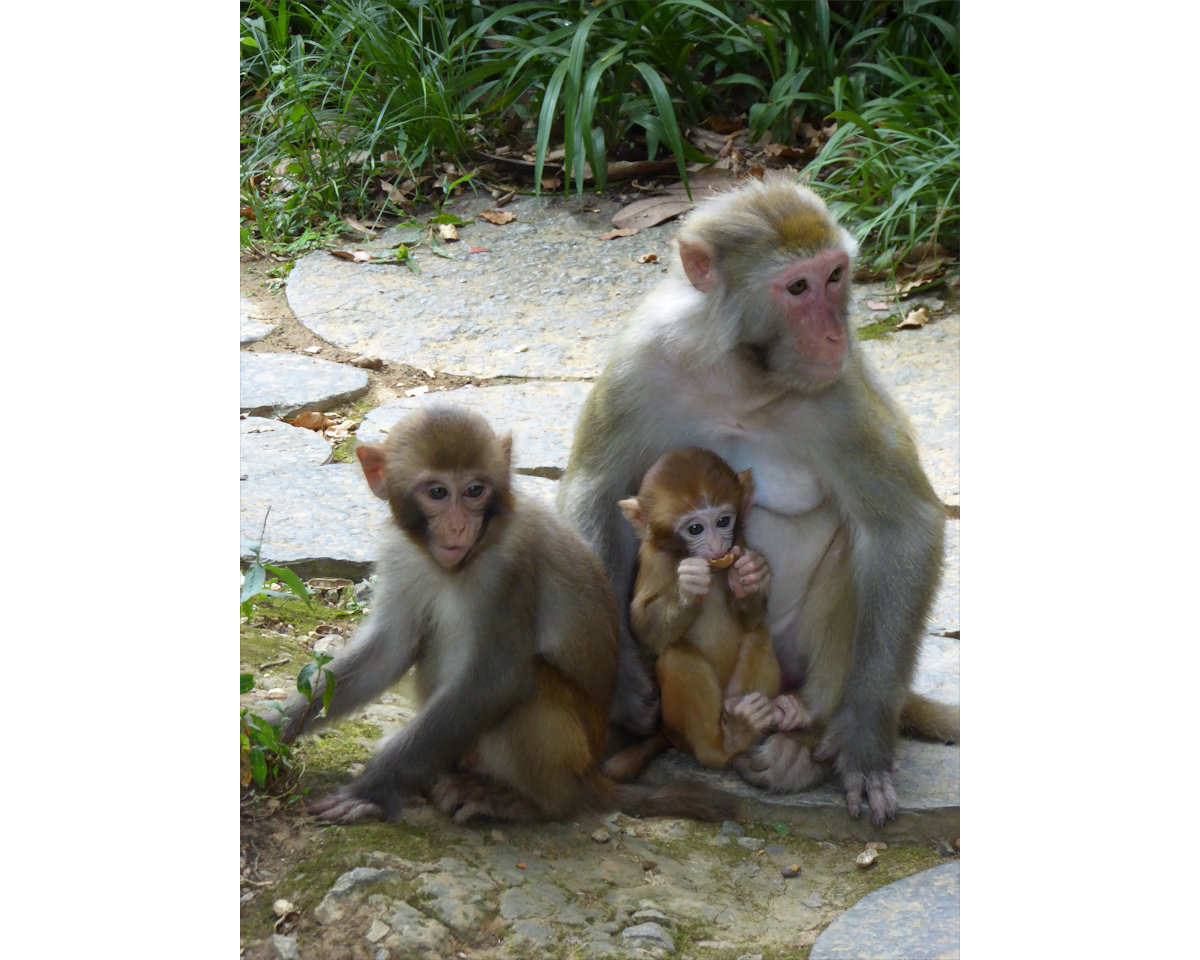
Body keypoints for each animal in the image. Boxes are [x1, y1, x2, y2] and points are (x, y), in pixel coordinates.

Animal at [277, 405, 734, 825]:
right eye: (437, 492)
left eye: (475, 490)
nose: (458, 527)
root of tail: (590, 773)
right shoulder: (401, 556)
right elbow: (386, 652)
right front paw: (271, 730)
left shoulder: (507, 567)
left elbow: (494, 679)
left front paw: (372, 789)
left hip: (573, 754)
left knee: (533, 684)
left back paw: (528, 802)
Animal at [604, 446, 820, 782]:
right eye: (695, 528)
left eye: (723, 521)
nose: (718, 545)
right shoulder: (653, 560)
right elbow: (641, 626)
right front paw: (688, 588)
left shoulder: (739, 544)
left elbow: (752, 619)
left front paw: (751, 576)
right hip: (681, 729)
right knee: (677, 656)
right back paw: (725, 743)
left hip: (732, 693)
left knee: (757, 636)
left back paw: (774, 714)